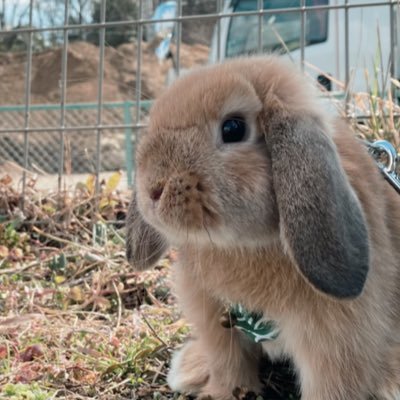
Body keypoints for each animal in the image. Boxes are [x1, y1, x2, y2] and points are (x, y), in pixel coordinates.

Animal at [125, 56, 400, 400]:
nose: (153, 190)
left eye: (233, 128)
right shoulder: (214, 319)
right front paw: (221, 393)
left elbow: (331, 387)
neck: (244, 245)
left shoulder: (338, 346)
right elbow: (228, 366)